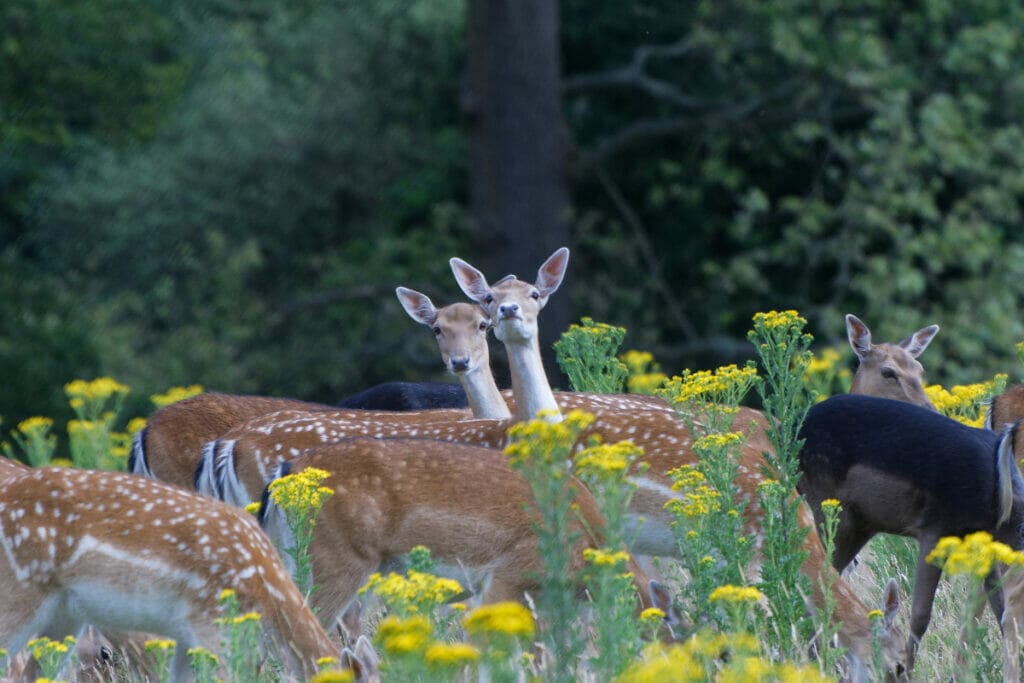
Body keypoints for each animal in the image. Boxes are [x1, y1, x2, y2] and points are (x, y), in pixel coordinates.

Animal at [798, 393, 1024, 679]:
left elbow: (997, 608)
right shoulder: (934, 532)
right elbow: (921, 615)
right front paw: (907, 670)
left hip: (859, 524)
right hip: (831, 513)